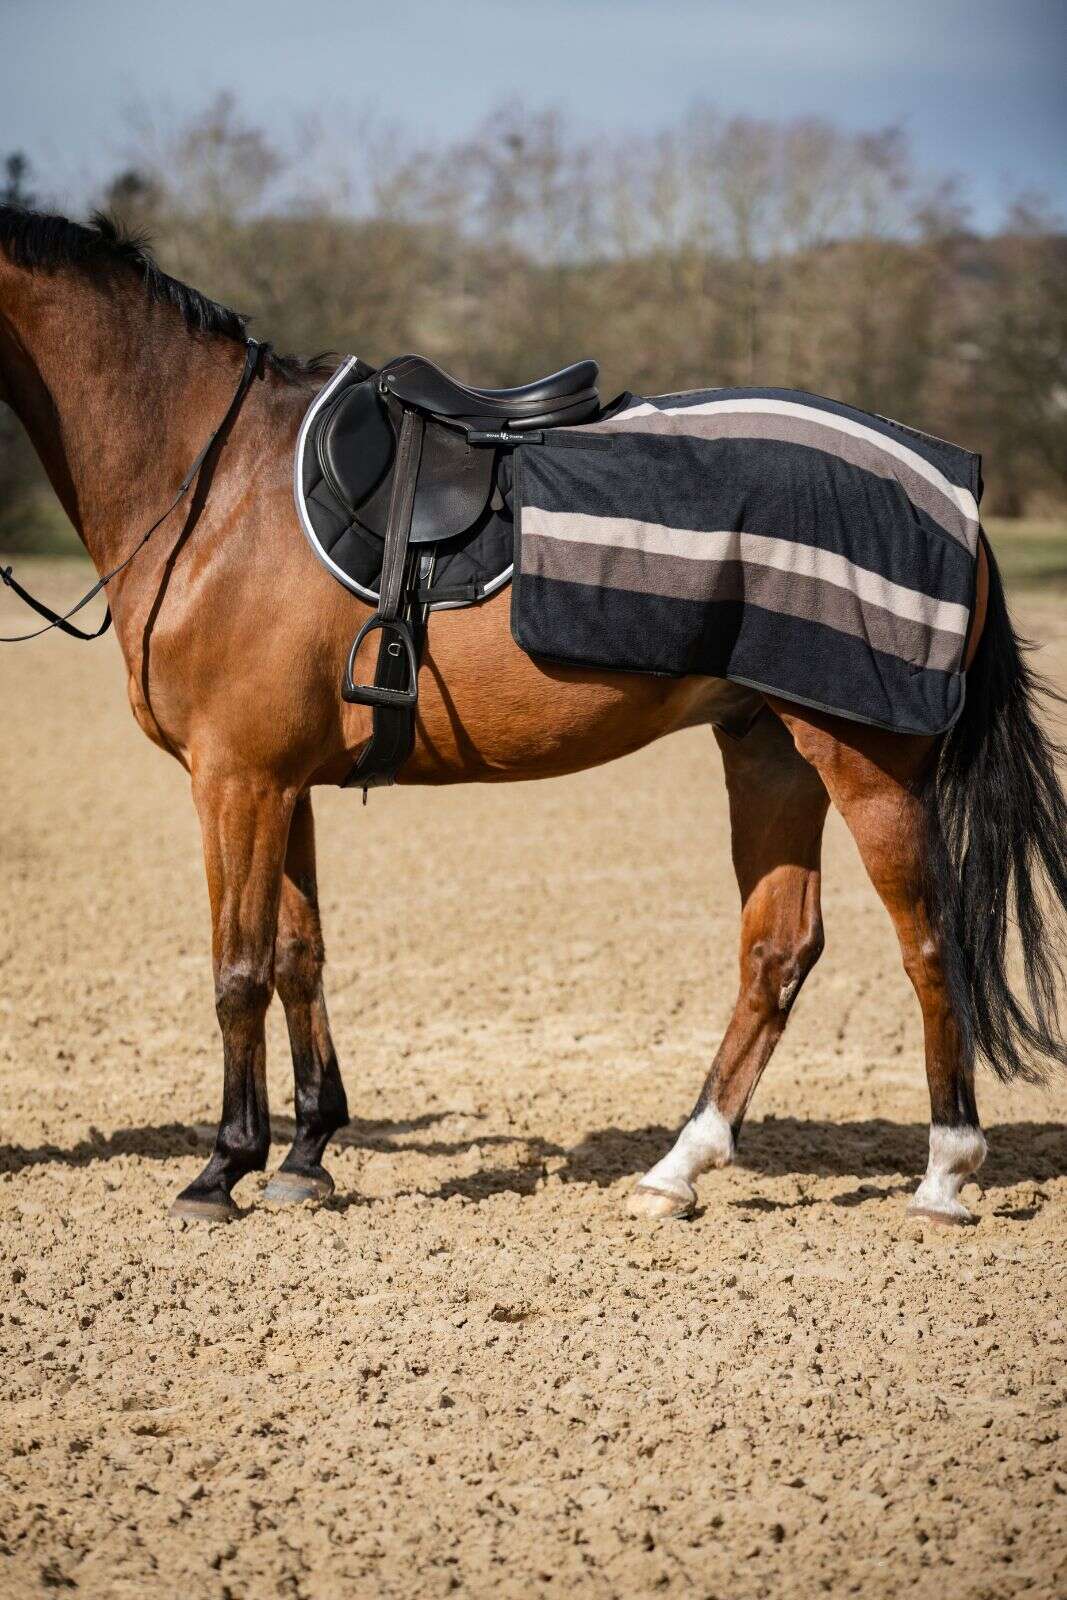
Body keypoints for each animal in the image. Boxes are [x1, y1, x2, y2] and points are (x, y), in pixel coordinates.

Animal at [2, 206, 1065, 1228]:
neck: (217, 484)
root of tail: (950, 490)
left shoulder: (237, 778)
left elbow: (239, 970)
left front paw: (221, 1169)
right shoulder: (280, 781)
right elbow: (299, 957)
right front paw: (304, 1158)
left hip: (865, 762)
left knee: (927, 944)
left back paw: (943, 1173)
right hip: (772, 750)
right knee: (777, 952)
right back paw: (676, 1170)